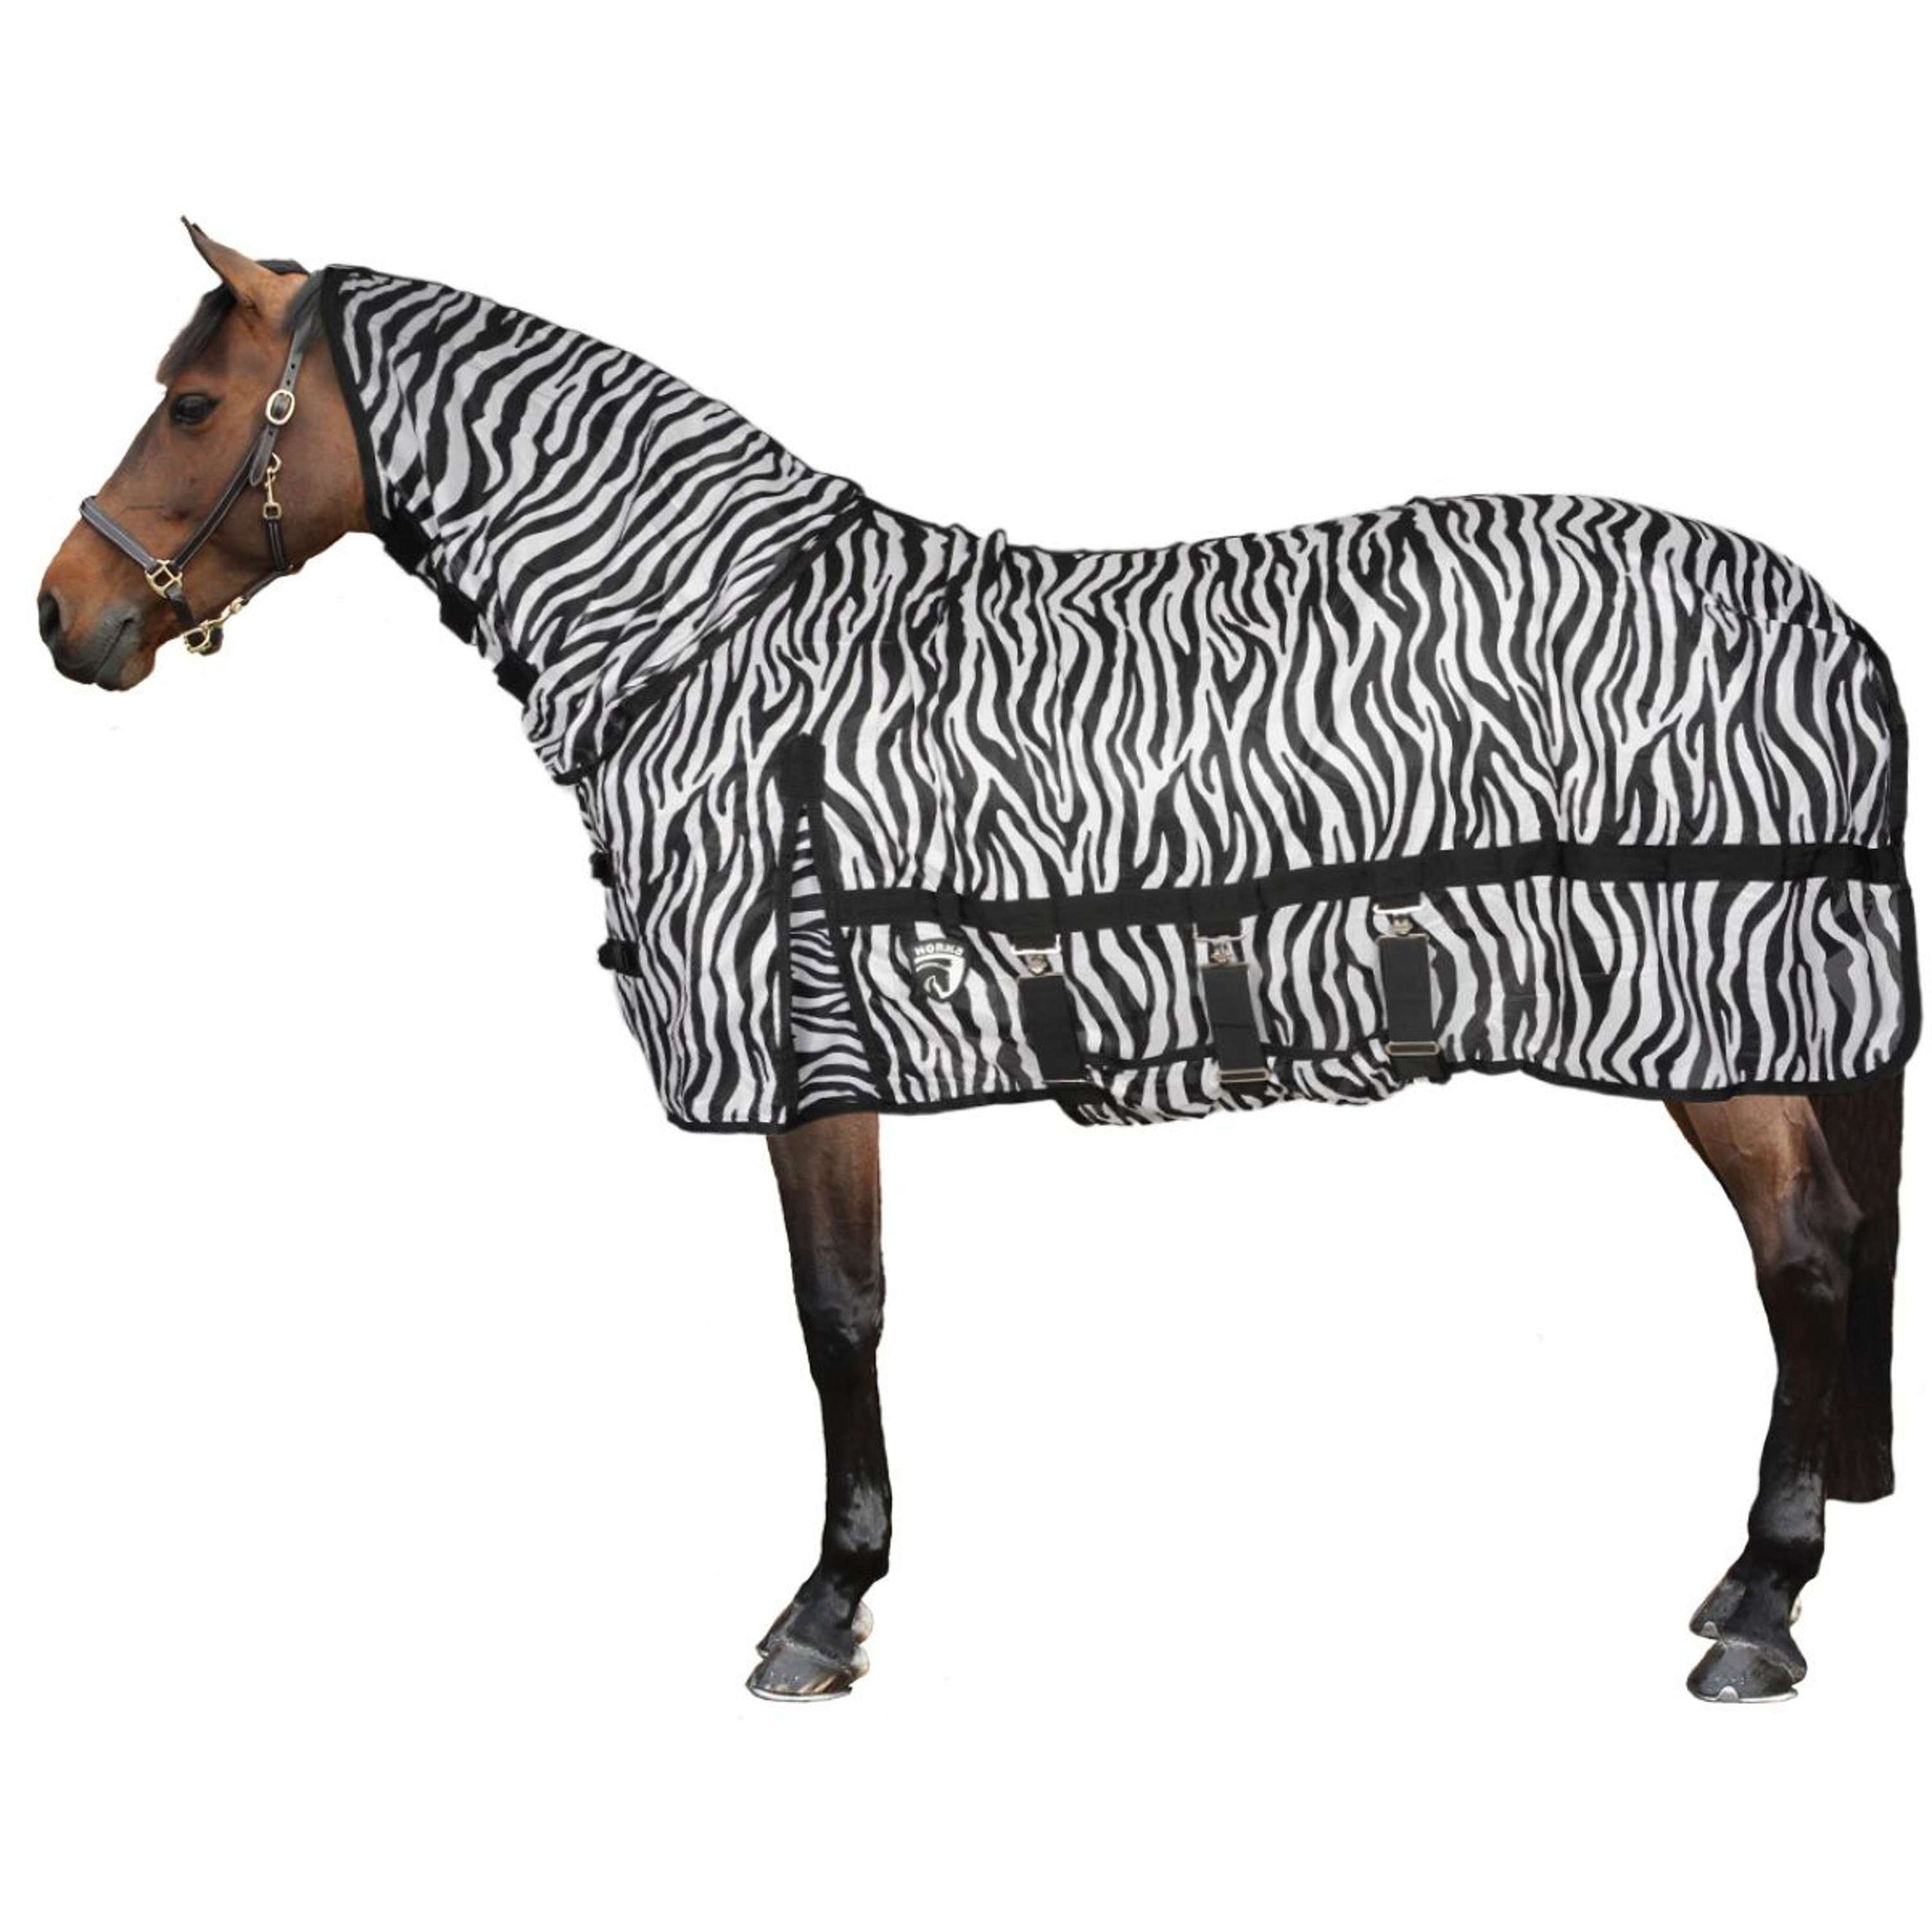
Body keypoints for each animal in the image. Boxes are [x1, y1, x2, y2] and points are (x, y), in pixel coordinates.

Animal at [38, 225, 1914, 1702]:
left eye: (194, 405)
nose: (63, 616)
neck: (714, 647)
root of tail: (1832, 624)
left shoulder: (804, 1050)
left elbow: (837, 1315)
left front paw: (825, 1606)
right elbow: (850, 1309)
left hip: (1716, 1023)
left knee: (1808, 1254)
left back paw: (1762, 1607)